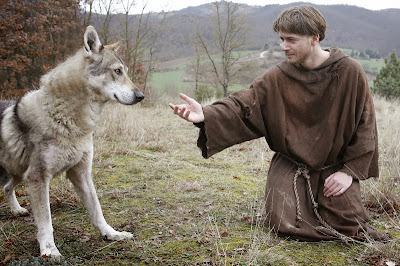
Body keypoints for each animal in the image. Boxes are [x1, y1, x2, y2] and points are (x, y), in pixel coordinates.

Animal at [0, 26, 144, 258]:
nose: (141, 96)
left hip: (19, 174)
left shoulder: (81, 173)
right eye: (117, 71)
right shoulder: (39, 178)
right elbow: (46, 221)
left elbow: (97, 211)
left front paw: (112, 234)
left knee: (6, 187)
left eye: (127, 71)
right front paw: (49, 250)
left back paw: (16, 210)